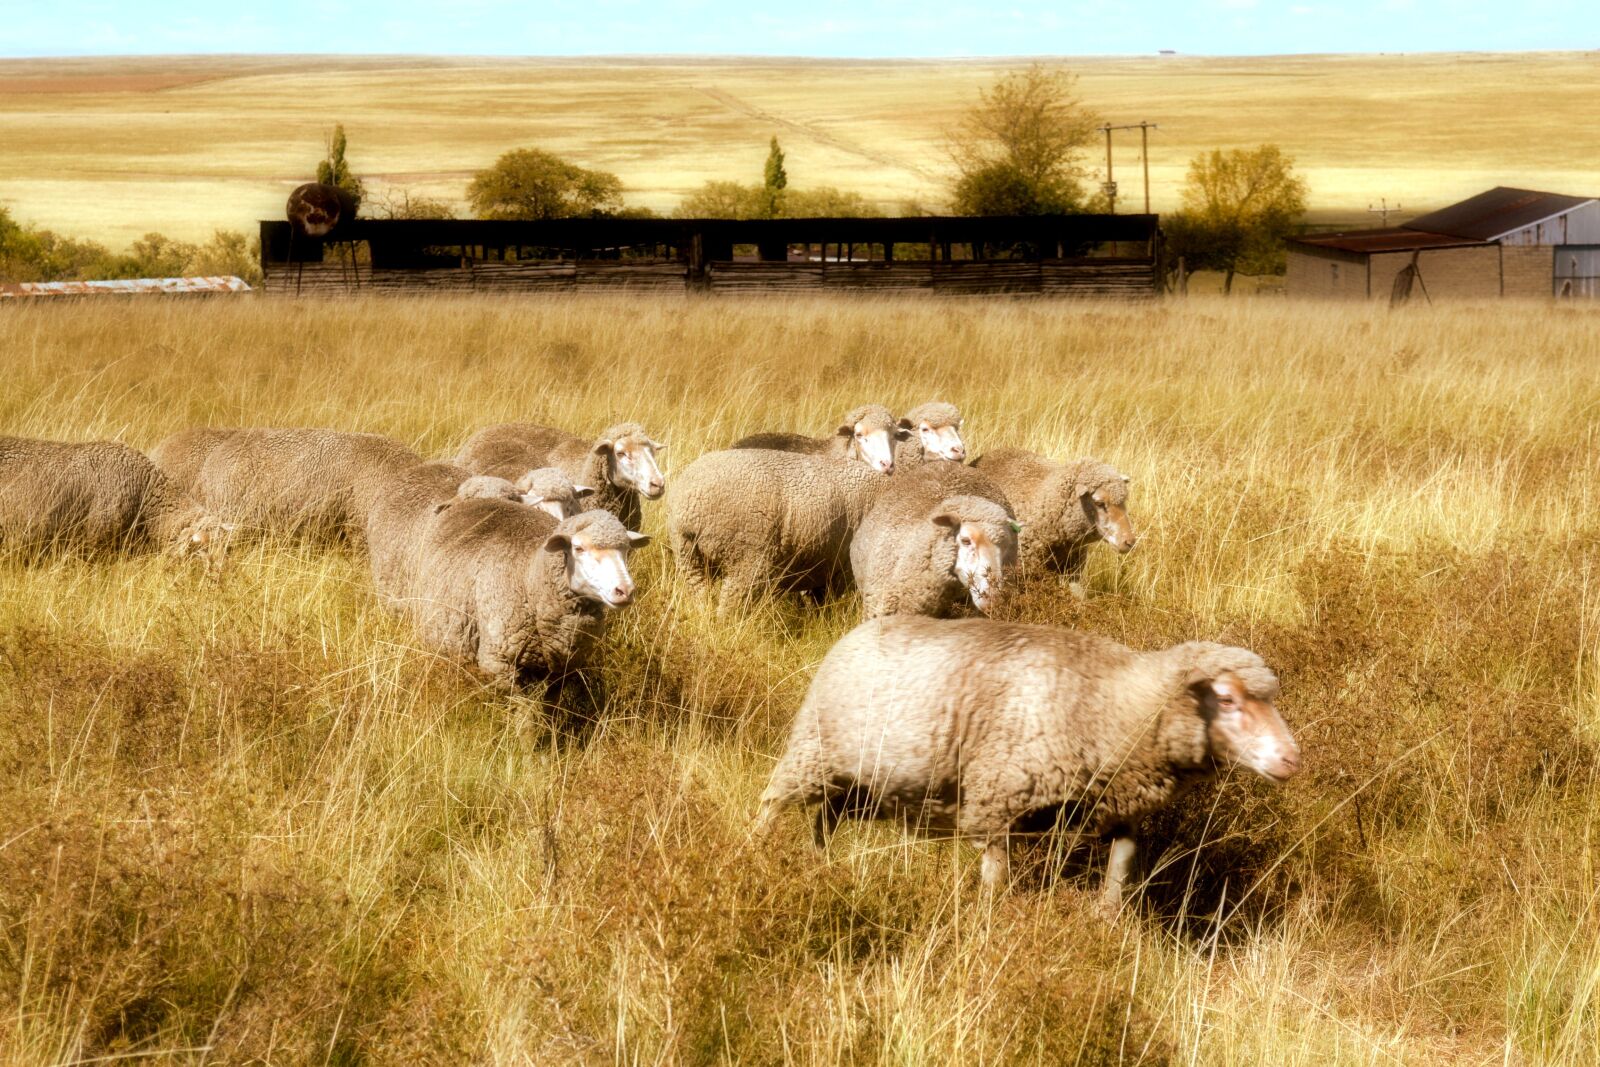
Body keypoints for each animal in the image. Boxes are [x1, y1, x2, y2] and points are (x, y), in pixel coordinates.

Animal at [375, 501, 649, 691]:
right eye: (578, 548)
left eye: (626, 549)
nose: (625, 590)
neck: (529, 574)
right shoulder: (498, 665)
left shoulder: (562, 669)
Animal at [666, 447, 888, 612]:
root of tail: (691, 503)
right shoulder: (843, 570)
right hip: (747, 558)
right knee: (729, 606)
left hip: (688, 557)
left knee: (701, 597)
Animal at [756, 617, 1300, 908]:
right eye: (1226, 700)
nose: (1292, 759)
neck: (1113, 702)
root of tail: (859, 629)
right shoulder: (996, 803)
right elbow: (996, 881)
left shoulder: (1111, 808)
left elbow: (1120, 871)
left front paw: (1105, 923)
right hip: (811, 754)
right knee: (770, 803)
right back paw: (754, 853)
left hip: (858, 786)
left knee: (823, 820)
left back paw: (820, 864)